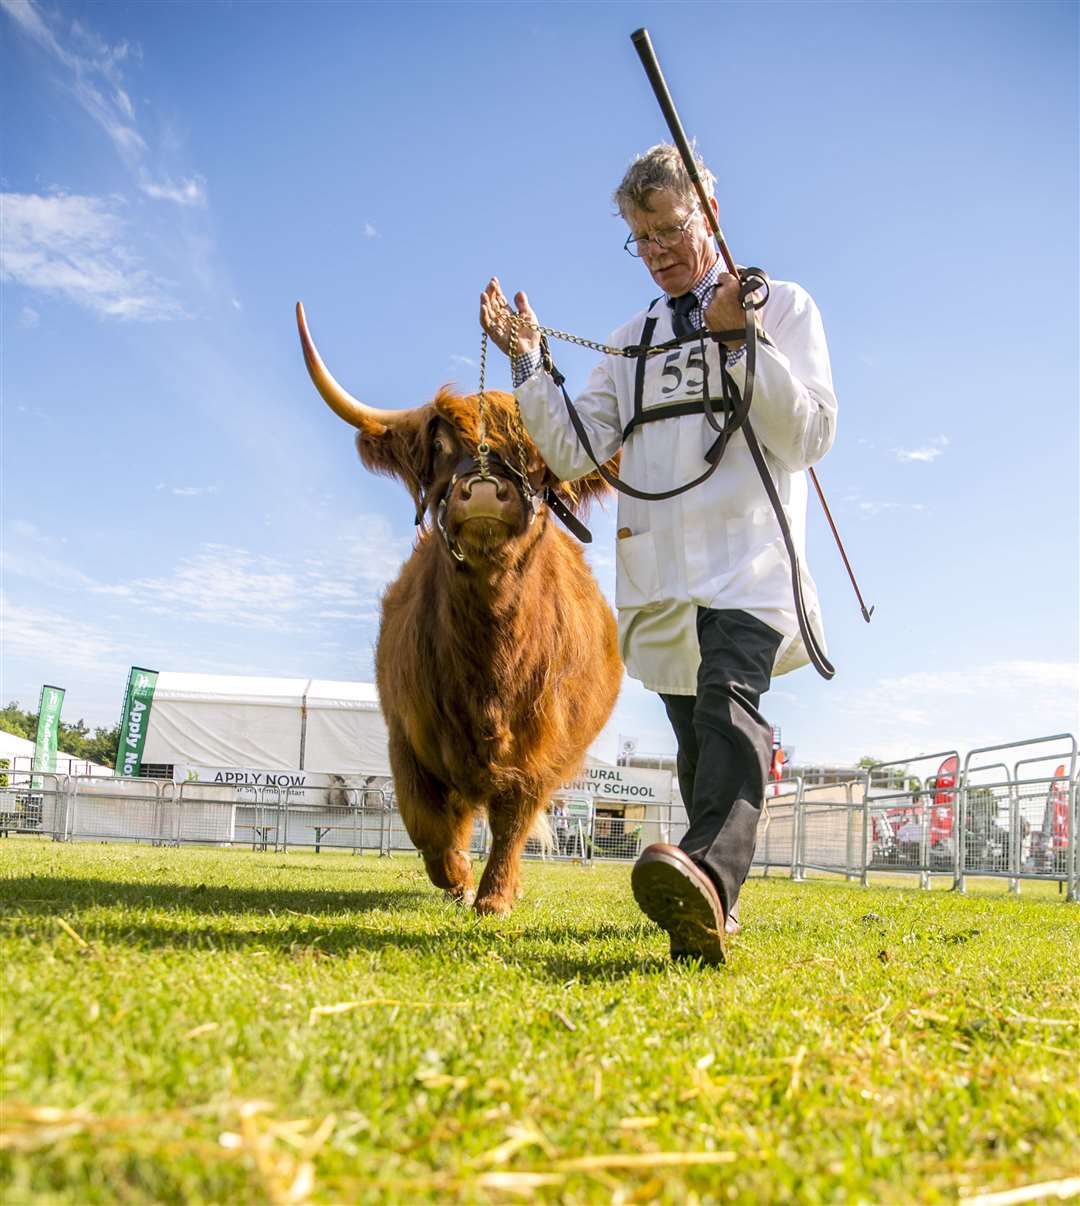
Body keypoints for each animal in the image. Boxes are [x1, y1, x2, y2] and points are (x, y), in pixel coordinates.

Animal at [297, 301, 626, 911]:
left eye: (537, 455)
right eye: (440, 448)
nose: (484, 490)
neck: (489, 664)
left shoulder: (540, 751)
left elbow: (514, 821)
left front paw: (494, 896)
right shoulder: (407, 736)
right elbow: (425, 821)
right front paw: (455, 876)